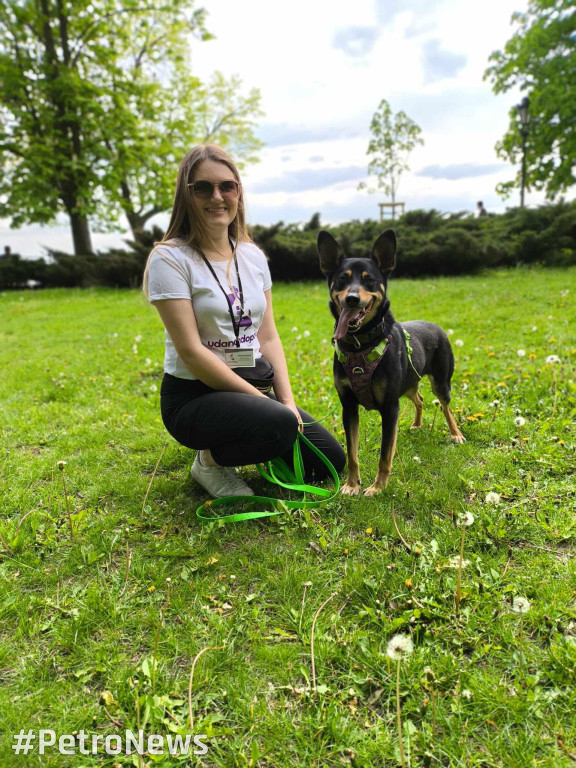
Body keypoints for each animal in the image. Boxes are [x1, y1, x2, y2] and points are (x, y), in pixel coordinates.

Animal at [318, 228, 466, 498]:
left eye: (370, 281)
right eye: (342, 279)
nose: (352, 299)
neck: (360, 344)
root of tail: (437, 326)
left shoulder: (390, 407)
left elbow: (385, 455)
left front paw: (378, 487)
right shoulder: (349, 406)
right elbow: (352, 453)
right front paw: (352, 485)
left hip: (441, 382)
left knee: (446, 406)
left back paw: (456, 434)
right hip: (407, 384)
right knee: (419, 398)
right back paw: (417, 424)